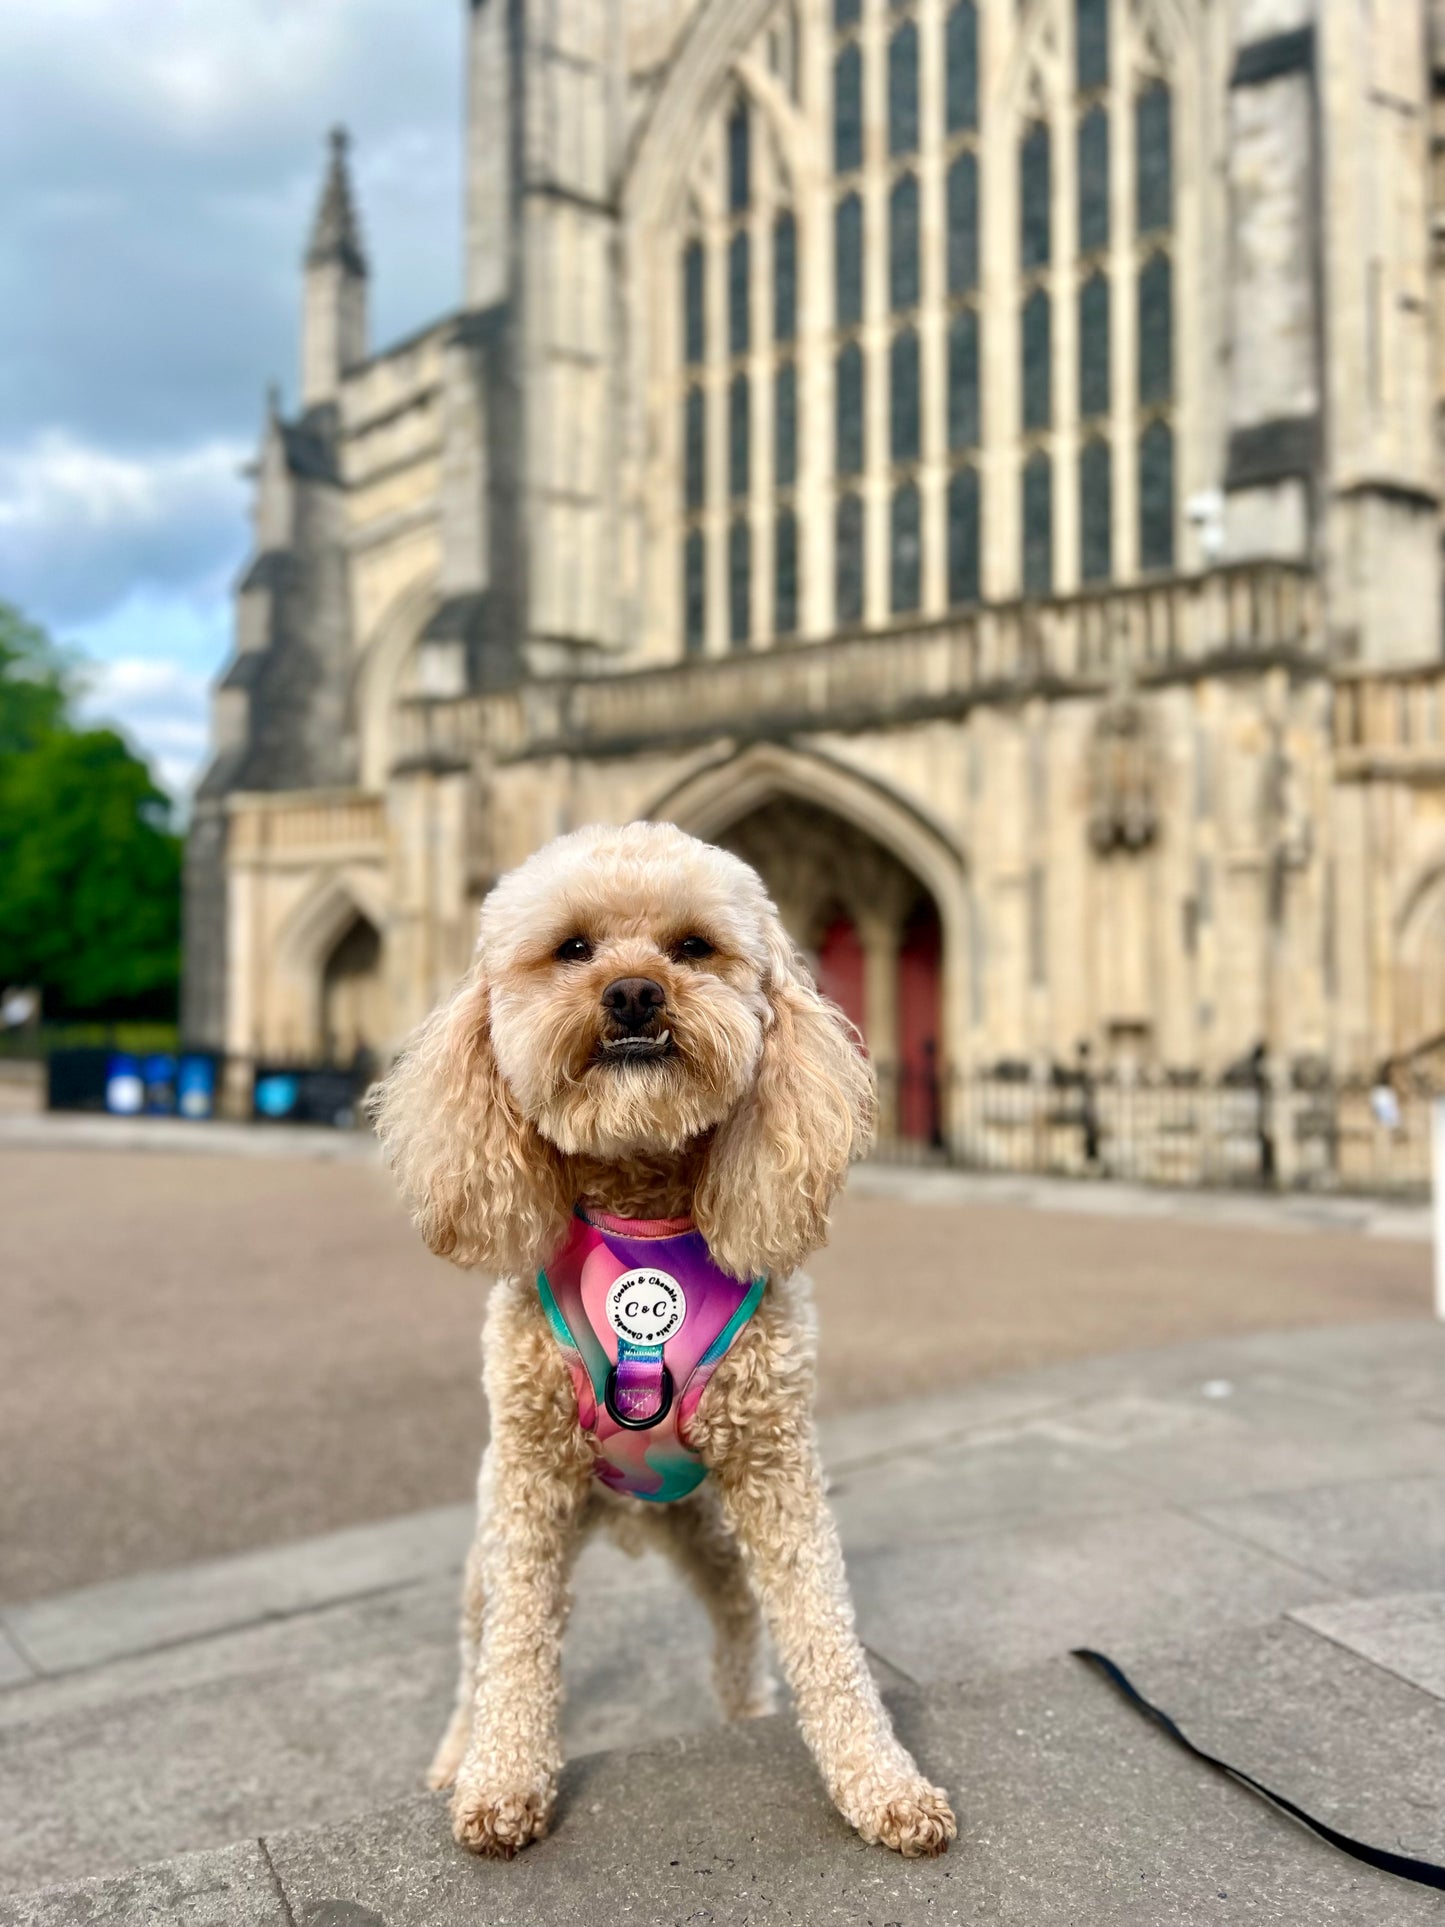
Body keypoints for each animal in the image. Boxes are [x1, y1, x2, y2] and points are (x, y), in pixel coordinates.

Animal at [373, 820, 963, 1857]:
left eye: (692, 946)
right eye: (572, 947)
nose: (635, 991)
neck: (641, 1194)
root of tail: (631, 1514)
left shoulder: (774, 1467)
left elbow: (823, 1627)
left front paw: (881, 1783)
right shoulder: (530, 1479)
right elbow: (518, 1646)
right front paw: (498, 1781)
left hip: (712, 1528)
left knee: (737, 1615)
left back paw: (747, 1712)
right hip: (493, 1535)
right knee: (477, 1648)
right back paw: (455, 1755)